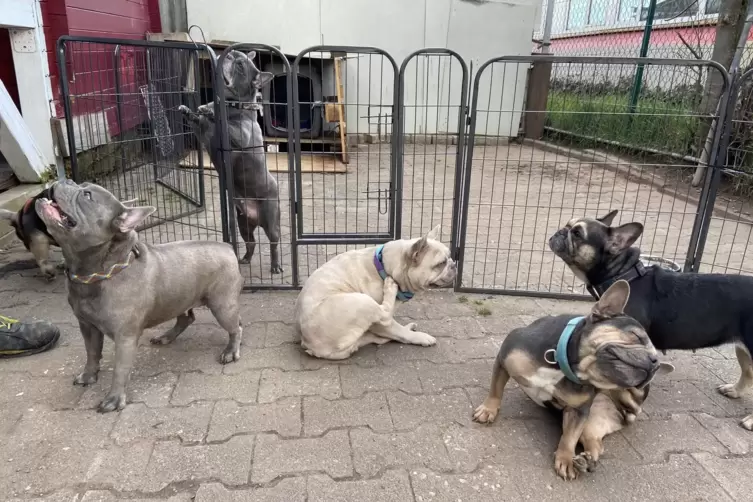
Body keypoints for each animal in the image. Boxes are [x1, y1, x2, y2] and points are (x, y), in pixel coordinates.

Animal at [548, 210, 752, 430]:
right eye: (568, 225)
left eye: (578, 233)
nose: (560, 231)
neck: (624, 273)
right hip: (743, 348)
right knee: (748, 372)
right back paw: (734, 390)